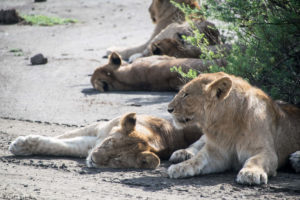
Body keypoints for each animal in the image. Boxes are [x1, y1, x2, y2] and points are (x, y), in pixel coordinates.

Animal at [9, 112, 202, 169]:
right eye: (109, 143)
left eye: (116, 160)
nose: (94, 160)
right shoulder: (98, 131)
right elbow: (59, 141)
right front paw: (20, 145)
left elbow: (58, 145)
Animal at [166, 71, 300, 184]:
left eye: (186, 95)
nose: (169, 109)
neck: (227, 126)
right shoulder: (217, 152)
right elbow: (198, 159)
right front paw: (180, 167)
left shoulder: (267, 152)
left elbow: (255, 160)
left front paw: (250, 173)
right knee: (198, 144)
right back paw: (182, 154)